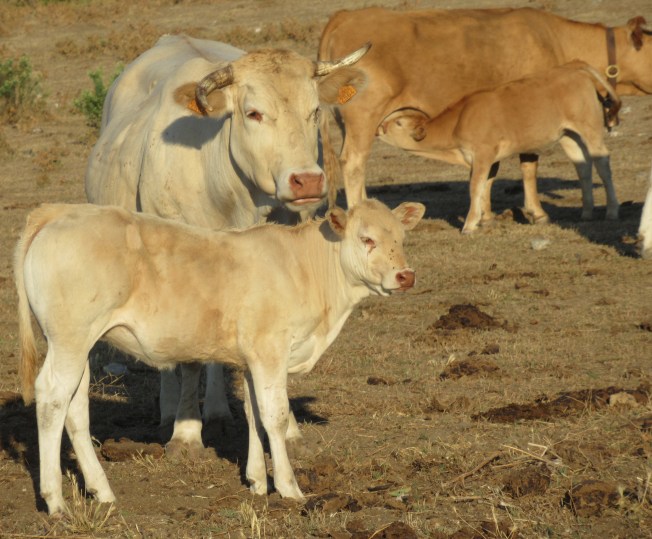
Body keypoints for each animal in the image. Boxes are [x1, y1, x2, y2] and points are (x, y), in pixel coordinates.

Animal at [15, 199, 425, 515]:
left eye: (402, 238)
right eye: (366, 238)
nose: (405, 276)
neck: (305, 269)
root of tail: (60, 210)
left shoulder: (251, 359)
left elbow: (254, 414)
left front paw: (257, 481)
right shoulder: (270, 350)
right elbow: (275, 417)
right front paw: (288, 487)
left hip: (77, 345)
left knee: (75, 408)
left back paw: (102, 491)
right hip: (69, 340)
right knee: (52, 399)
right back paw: (55, 501)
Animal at [84, 34, 369, 455]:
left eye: (314, 110)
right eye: (253, 113)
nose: (307, 180)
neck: (233, 197)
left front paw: (287, 426)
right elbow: (188, 360)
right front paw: (186, 433)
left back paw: (217, 412)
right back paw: (170, 412)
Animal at [377, 61, 621, 233]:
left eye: (398, 123)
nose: (379, 128)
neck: (460, 119)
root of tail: (575, 69)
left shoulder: (483, 154)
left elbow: (475, 187)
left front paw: (469, 225)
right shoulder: (486, 160)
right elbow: (485, 185)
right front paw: (485, 220)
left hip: (590, 129)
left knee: (602, 163)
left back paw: (611, 210)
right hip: (569, 136)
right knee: (583, 167)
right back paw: (586, 212)